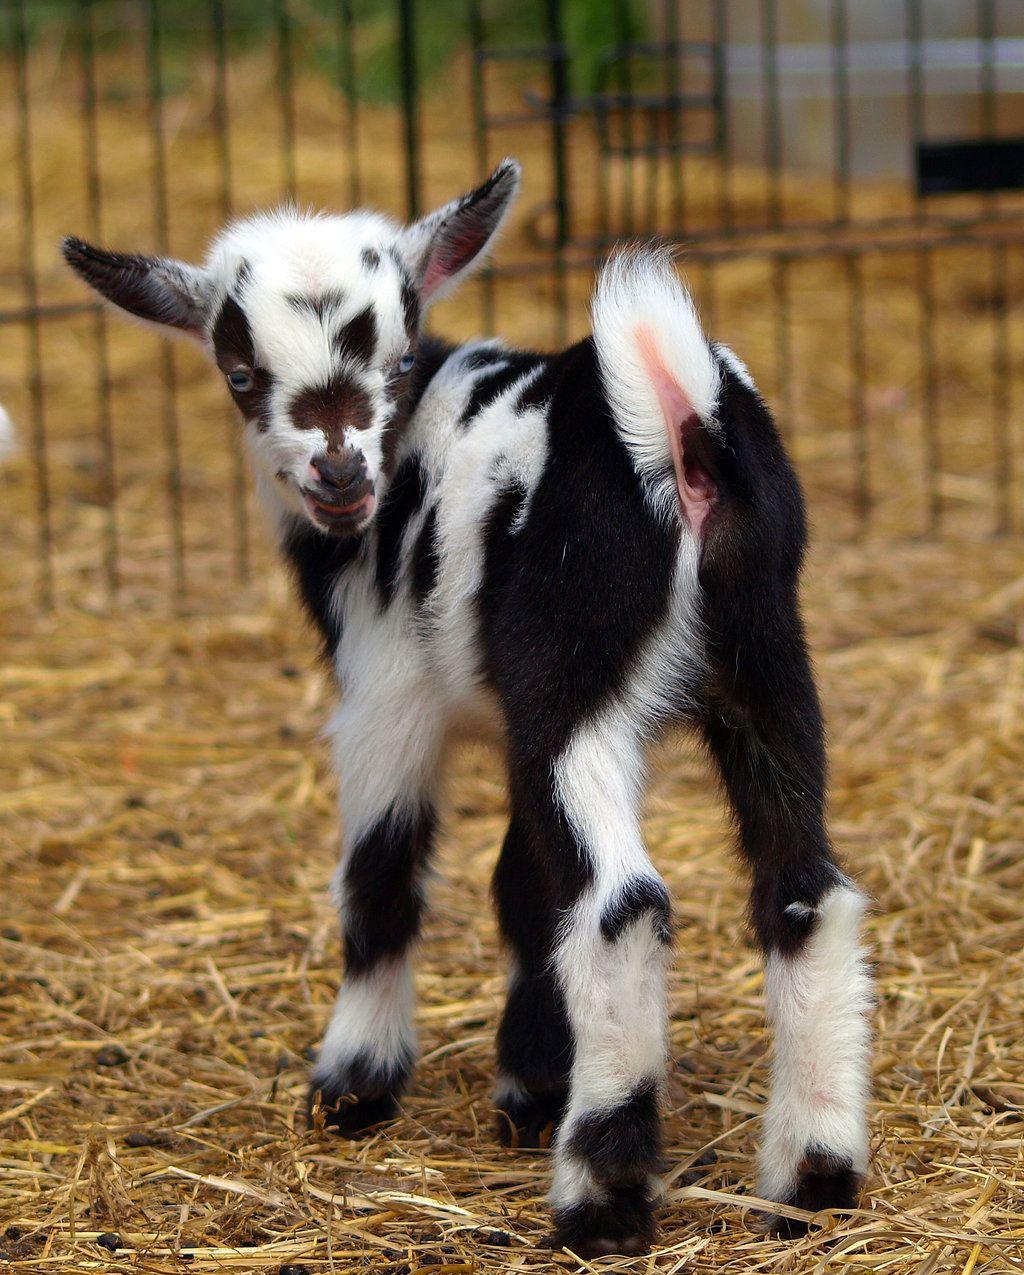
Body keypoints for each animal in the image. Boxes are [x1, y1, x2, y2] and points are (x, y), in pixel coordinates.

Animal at [63, 159, 872, 1256]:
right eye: (240, 372)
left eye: (397, 359)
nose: (338, 470)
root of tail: (680, 420)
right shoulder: (517, 726)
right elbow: (522, 887)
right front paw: (530, 1080)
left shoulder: (386, 692)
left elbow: (381, 875)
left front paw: (355, 1081)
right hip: (767, 665)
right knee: (804, 890)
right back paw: (813, 1172)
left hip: (574, 681)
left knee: (622, 906)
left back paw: (601, 1197)